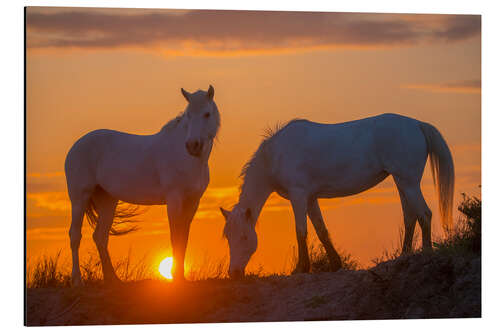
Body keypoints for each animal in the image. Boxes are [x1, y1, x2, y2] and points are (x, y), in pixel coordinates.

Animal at [65, 85, 221, 282]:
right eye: (188, 115)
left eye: (207, 114)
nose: (192, 145)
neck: (187, 159)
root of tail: (76, 146)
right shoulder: (174, 199)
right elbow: (175, 236)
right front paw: (176, 277)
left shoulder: (193, 202)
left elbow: (184, 237)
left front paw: (181, 277)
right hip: (79, 198)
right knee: (75, 236)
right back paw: (77, 280)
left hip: (108, 200)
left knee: (100, 236)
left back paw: (113, 279)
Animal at [221, 113, 456, 278]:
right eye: (228, 238)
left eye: (243, 237)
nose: (234, 273)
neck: (275, 155)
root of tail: (417, 124)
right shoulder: (311, 198)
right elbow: (321, 230)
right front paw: (335, 264)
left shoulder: (299, 195)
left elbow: (301, 231)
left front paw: (301, 268)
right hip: (402, 183)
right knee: (410, 217)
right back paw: (403, 256)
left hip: (409, 183)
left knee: (424, 214)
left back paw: (426, 254)